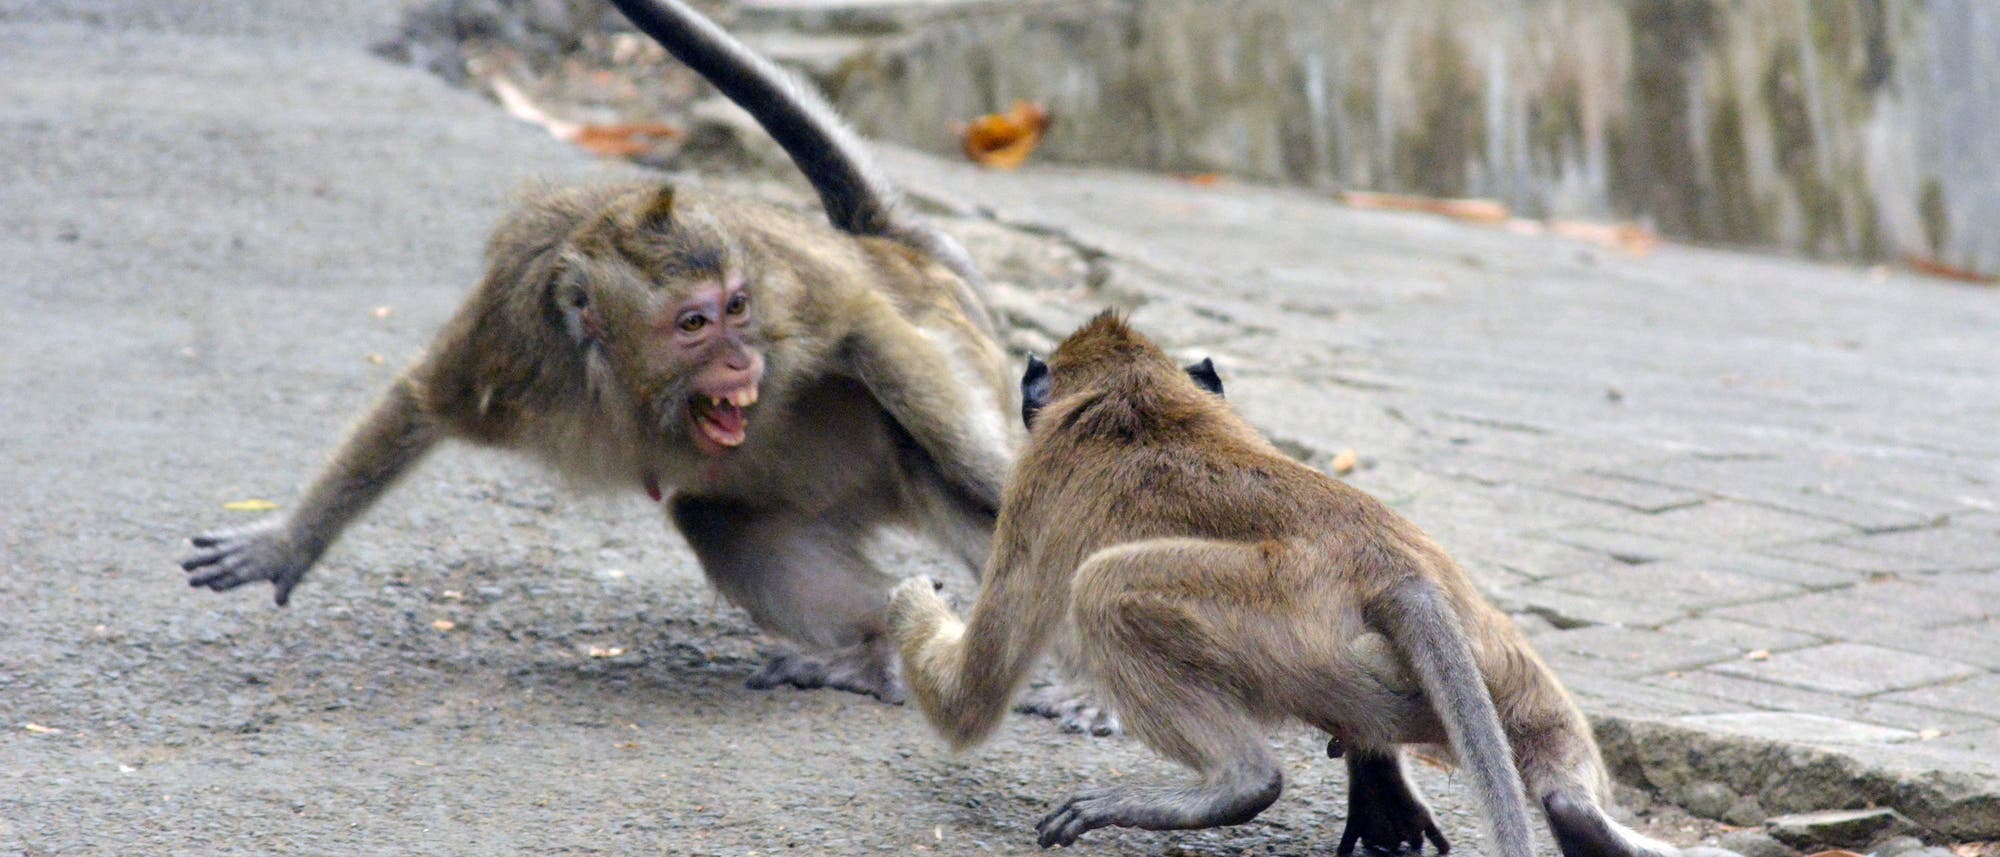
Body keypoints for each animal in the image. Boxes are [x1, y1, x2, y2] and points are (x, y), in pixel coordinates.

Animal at [180, 0, 1015, 703]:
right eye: (693, 324)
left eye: (737, 308)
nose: (743, 362)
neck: (622, 385)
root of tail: (897, 245)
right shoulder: (513, 352)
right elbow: (420, 400)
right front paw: (289, 542)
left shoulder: (792, 306)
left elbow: (869, 329)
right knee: (719, 522)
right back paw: (877, 650)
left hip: (948, 352)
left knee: (923, 446)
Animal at [888, 312, 1738, 857]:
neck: (1132, 389)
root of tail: (1393, 570)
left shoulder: (1033, 486)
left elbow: (971, 697)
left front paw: (911, 603)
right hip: (1487, 652)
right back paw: (1575, 815)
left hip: (1272, 611)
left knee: (1106, 587)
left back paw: (1238, 783)